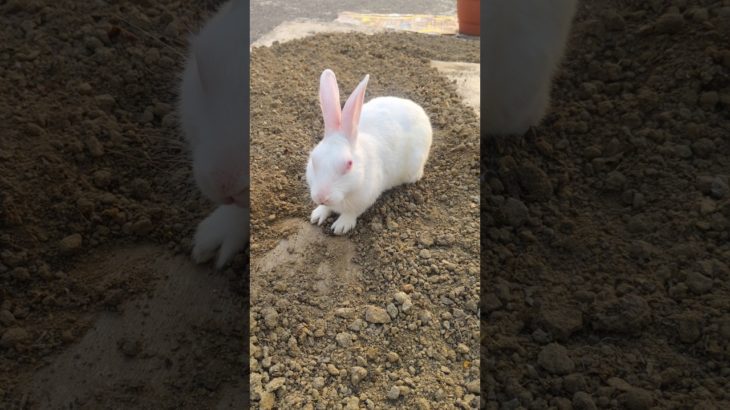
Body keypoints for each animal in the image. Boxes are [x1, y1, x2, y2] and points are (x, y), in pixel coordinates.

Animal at [306, 69, 433, 235]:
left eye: (349, 164)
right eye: (313, 160)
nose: (321, 196)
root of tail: (419, 110)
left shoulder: (365, 198)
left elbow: (351, 213)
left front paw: (341, 226)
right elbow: (326, 209)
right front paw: (317, 215)